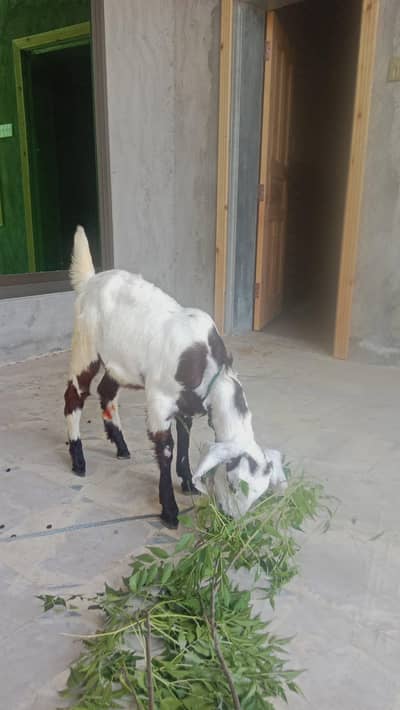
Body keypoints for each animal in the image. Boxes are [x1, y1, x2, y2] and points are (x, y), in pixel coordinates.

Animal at [64, 226, 286, 528]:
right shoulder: (160, 400)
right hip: (85, 346)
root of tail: (89, 281)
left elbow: (185, 439)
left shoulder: (187, 403)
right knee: (75, 394)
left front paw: (189, 483)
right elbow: (166, 449)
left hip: (119, 363)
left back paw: (121, 446)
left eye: (258, 494)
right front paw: (169, 510)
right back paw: (78, 459)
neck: (205, 362)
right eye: (231, 482)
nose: (230, 522)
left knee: (106, 392)